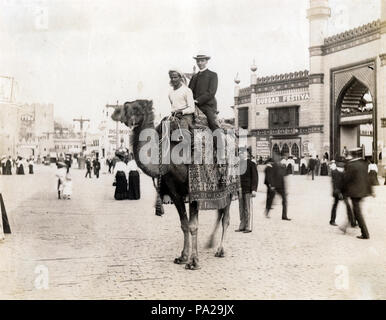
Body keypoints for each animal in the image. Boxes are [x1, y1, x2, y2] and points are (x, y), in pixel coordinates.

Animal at [111, 100, 235, 270]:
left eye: (135, 107)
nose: (114, 113)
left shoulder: (193, 190)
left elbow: (193, 225)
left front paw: (193, 261)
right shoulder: (175, 192)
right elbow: (184, 224)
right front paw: (183, 257)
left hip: (230, 187)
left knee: (226, 217)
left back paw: (221, 250)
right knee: (220, 211)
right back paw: (210, 243)